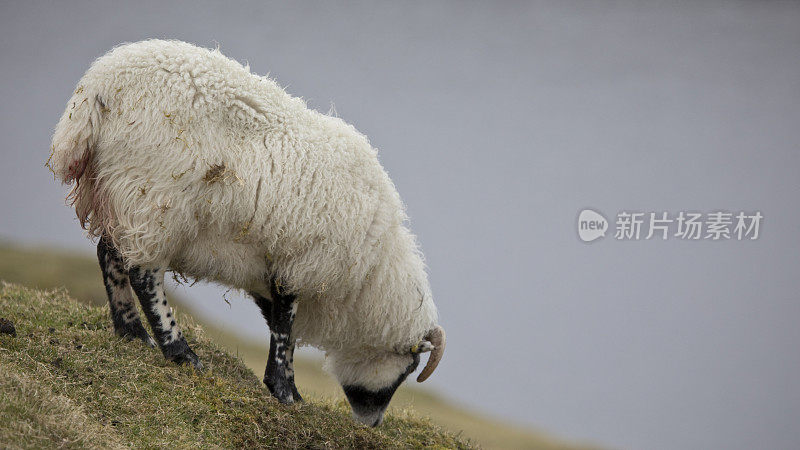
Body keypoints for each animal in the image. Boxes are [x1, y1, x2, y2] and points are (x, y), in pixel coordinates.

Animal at [45, 38, 444, 426]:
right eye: (408, 368)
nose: (372, 424)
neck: (370, 275)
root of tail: (97, 87)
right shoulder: (298, 263)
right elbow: (285, 329)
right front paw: (284, 392)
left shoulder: (270, 266)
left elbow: (280, 326)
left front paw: (287, 389)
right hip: (154, 200)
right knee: (144, 276)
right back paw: (180, 353)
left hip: (119, 193)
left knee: (110, 256)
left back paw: (132, 334)